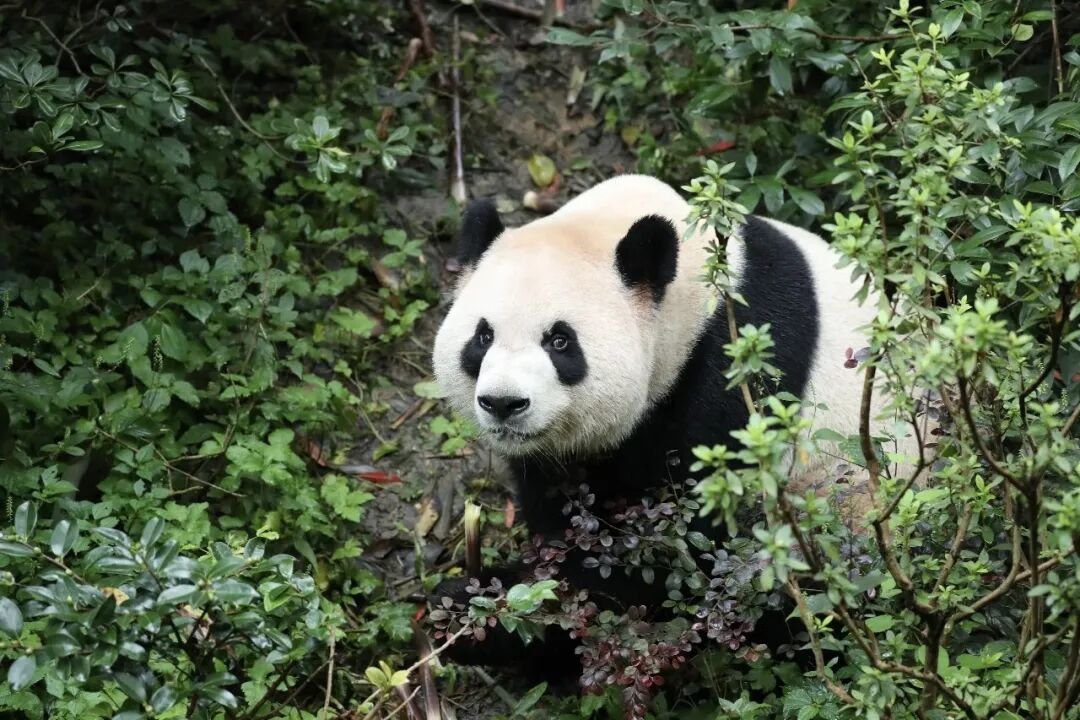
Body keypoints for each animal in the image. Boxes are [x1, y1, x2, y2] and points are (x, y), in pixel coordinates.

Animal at [430, 174, 920, 677]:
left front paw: (492, 614)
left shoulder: (734, 376)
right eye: (483, 336)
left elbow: (673, 556)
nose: (503, 403)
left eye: (560, 341)